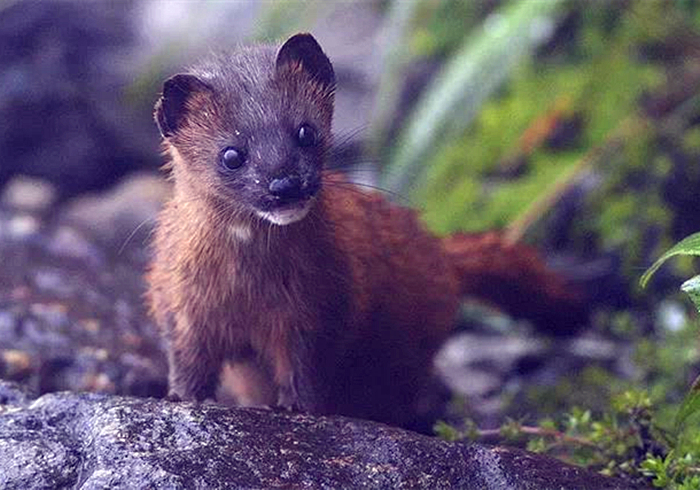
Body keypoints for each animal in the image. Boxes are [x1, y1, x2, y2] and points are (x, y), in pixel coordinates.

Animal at [146, 33, 580, 428]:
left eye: (306, 131)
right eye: (232, 155)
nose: (286, 185)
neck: (249, 287)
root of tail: (439, 252)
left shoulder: (323, 300)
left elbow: (307, 363)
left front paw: (296, 408)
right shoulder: (179, 301)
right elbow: (188, 357)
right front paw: (182, 397)